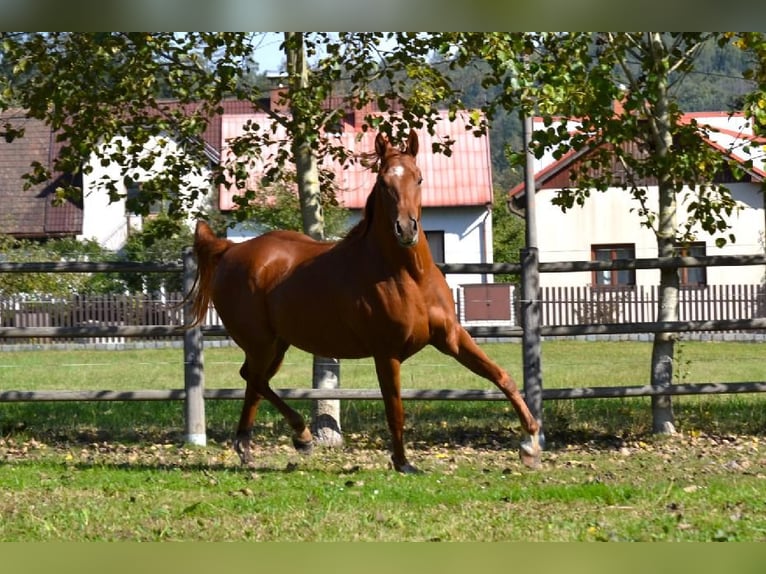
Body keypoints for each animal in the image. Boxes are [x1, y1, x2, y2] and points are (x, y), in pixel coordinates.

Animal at [190, 133, 544, 474]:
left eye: (418, 178)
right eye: (384, 182)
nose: (406, 229)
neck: (408, 275)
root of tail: (230, 250)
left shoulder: (451, 337)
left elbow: (501, 376)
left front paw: (530, 446)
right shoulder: (387, 353)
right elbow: (395, 408)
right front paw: (403, 463)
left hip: (276, 344)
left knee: (254, 379)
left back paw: (254, 447)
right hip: (262, 343)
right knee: (255, 378)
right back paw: (299, 435)